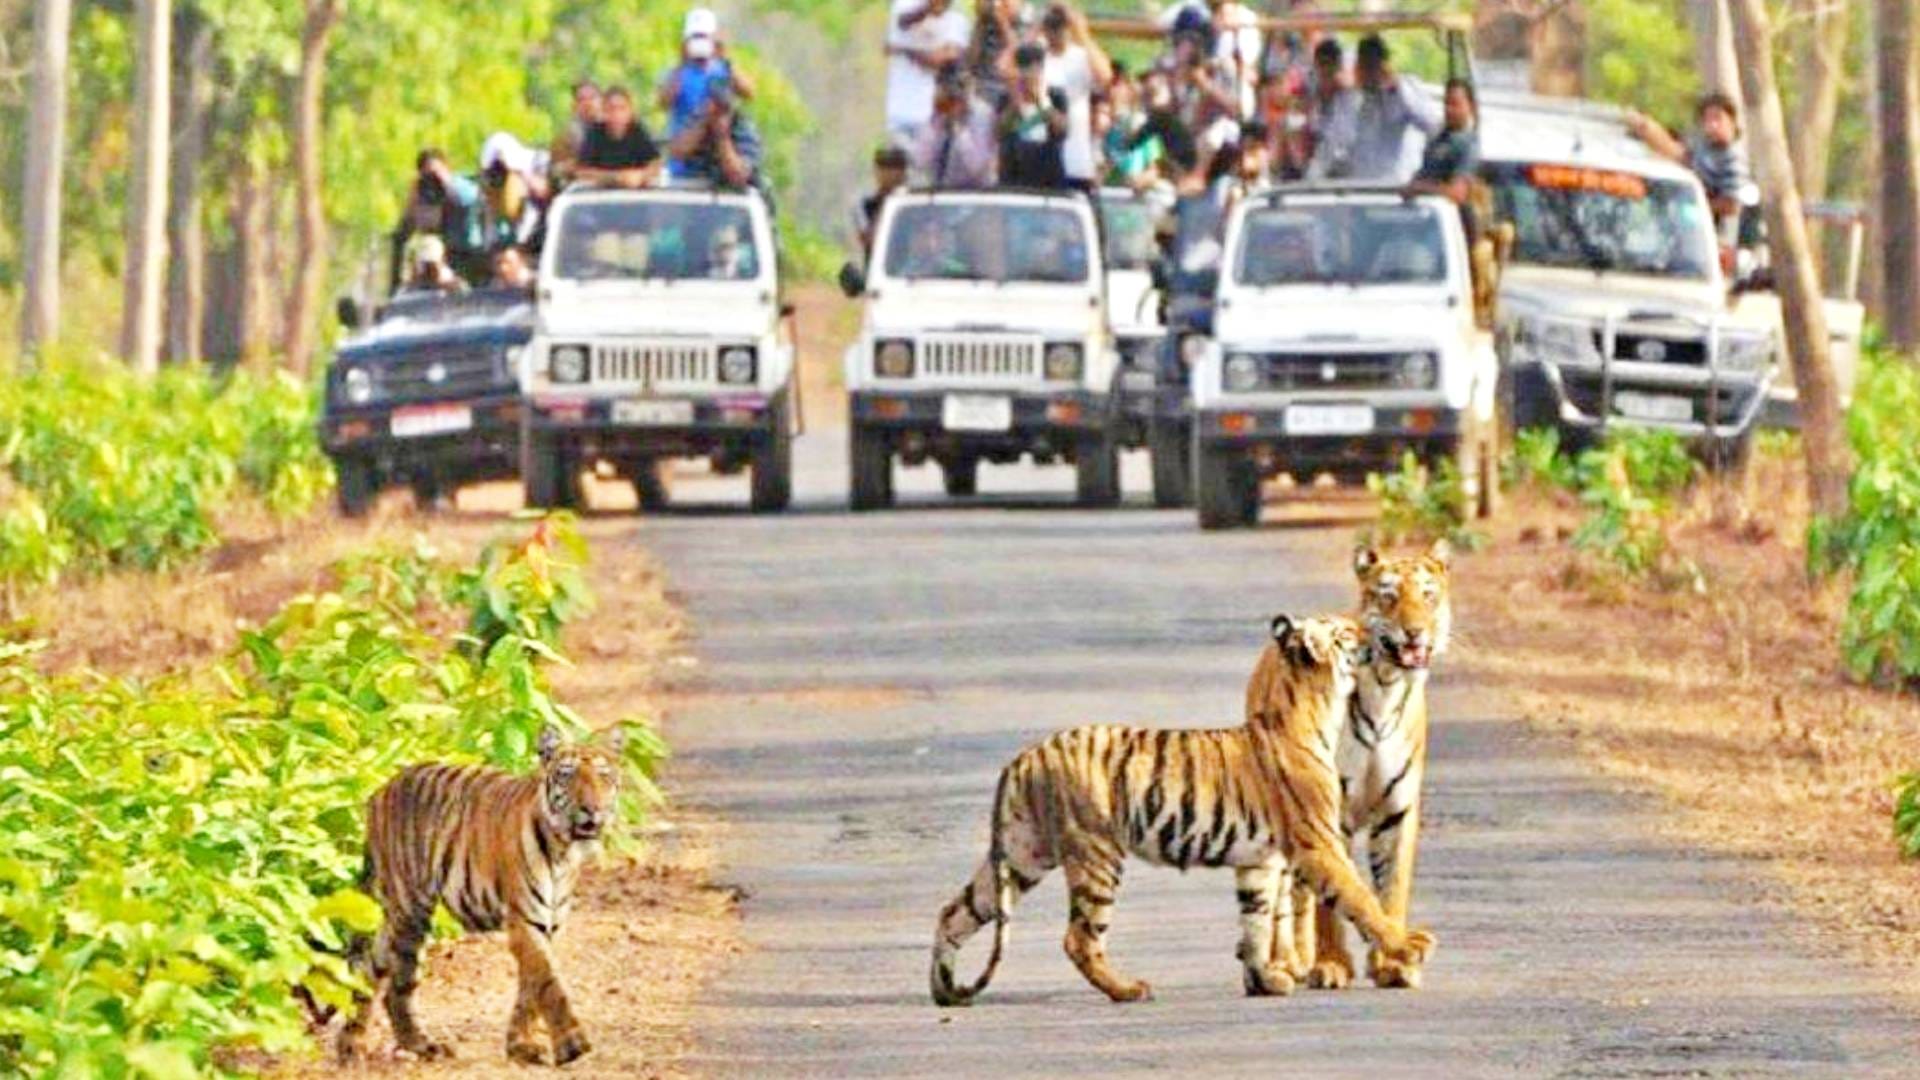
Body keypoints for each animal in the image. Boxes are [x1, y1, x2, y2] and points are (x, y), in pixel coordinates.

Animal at [331, 723, 626, 1066]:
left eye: (603, 776)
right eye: (567, 775)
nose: (592, 809)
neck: (563, 850)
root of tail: (381, 790)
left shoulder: (547, 923)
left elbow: (530, 986)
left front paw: (520, 1045)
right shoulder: (525, 919)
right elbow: (548, 981)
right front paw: (572, 1044)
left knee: (371, 970)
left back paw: (354, 1044)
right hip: (409, 910)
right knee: (397, 983)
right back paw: (410, 1045)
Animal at [929, 613, 1436, 1006]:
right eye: (1346, 631)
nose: (1375, 632)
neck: (1314, 707)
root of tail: (1024, 757)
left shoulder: (1259, 860)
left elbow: (1256, 919)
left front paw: (1264, 981)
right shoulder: (1319, 844)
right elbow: (1361, 899)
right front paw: (1408, 946)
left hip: (1022, 854)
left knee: (955, 911)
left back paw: (945, 990)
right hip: (1096, 854)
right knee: (1080, 938)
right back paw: (1129, 990)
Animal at [1254, 541, 1453, 993]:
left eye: (1428, 595)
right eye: (1389, 595)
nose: (1415, 631)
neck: (1385, 685)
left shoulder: (1397, 811)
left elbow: (1390, 889)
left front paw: (1393, 964)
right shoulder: (1331, 813)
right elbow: (1331, 902)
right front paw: (1331, 965)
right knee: (1289, 893)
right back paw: (1289, 962)